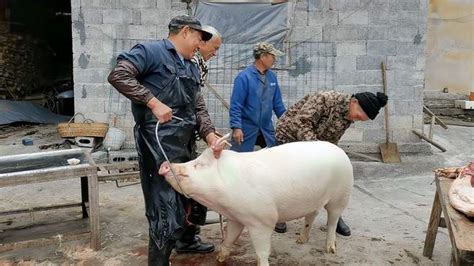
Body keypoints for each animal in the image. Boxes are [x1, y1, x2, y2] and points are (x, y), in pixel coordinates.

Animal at [158, 135, 352, 266]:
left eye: (198, 165)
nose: (165, 165)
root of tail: (340, 151)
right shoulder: (236, 217)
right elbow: (229, 238)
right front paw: (220, 258)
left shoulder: (262, 220)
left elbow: (262, 251)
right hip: (313, 200)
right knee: (311, 215)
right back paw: (300, 240)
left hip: (340, 196)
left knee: (333, 220)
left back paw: (330, 249)